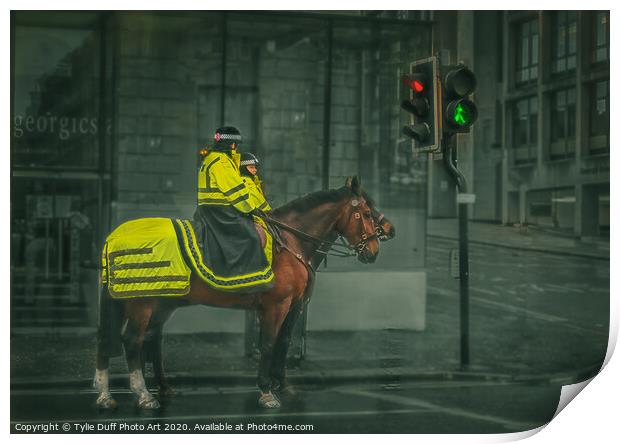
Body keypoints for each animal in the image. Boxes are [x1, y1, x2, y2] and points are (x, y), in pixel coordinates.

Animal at [94, 176, 390, 410]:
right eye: (366, 213)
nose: (375, 250)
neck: (291, 243)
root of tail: (113, 237)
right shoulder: (276, 306)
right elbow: (268, 344)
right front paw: (266, 391)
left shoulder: (294, 306)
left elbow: (283, 343)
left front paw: (282, 385)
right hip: (141, 303)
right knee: (132, 340)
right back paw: (142, 394)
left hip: (161, 303)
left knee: (145, 339)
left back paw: (122, 392)